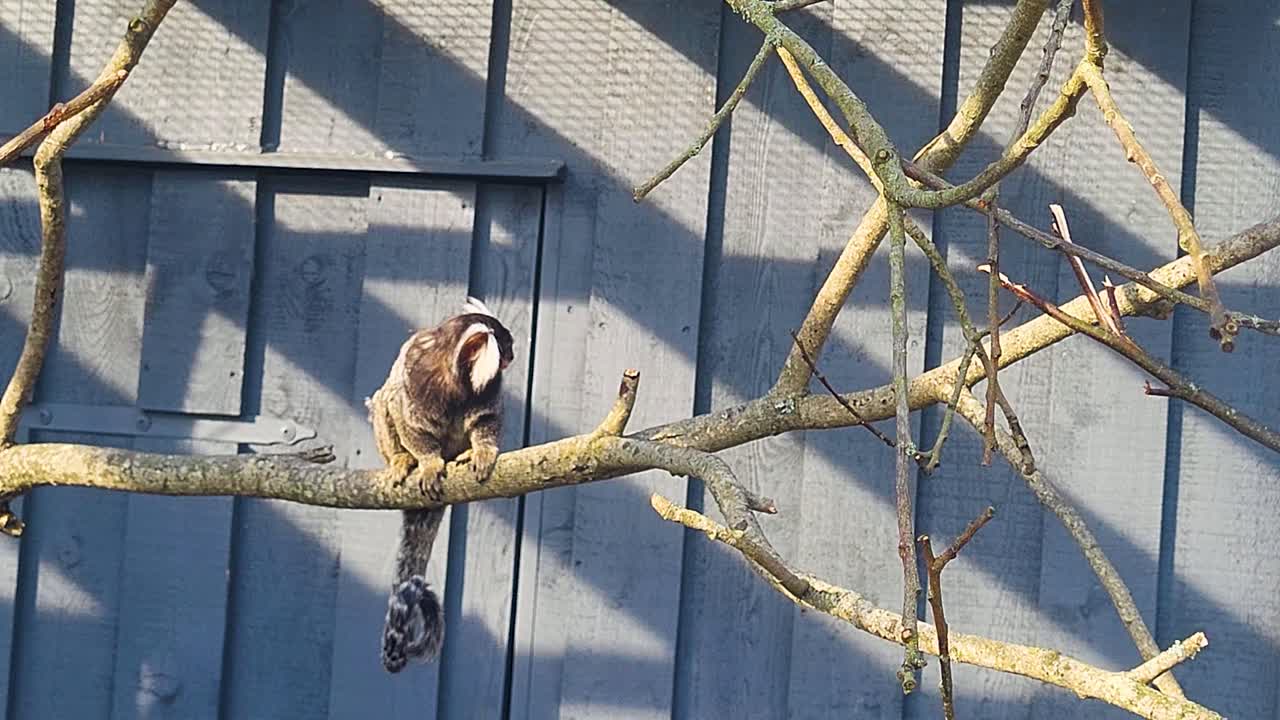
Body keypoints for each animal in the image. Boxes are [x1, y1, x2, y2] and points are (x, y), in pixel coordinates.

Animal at [365, 296, 514, 673]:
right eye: (505, 345)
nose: (512, 354)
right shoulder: (415, 380)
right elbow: (408, 419)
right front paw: (429, 463)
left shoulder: (487, 393)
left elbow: (486, 421)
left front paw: (481, 452)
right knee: (384, 400)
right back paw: (403, 462)